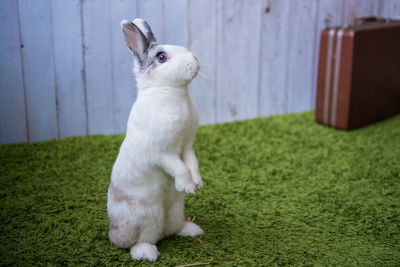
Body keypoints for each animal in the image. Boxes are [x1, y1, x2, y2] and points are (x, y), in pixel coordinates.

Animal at [107, 18, 203, 264]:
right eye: (161, 57)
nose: (195, 60)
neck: (170, 91)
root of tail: (113, 231)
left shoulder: (187, 146)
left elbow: (192, 164)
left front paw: (197, 184)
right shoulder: (163, 153)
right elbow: (180, 168)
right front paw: (187, 186)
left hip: (175, 210)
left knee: (171, 229)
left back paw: (191, 229)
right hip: (146, 219)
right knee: (138, 241)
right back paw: (147, 253)